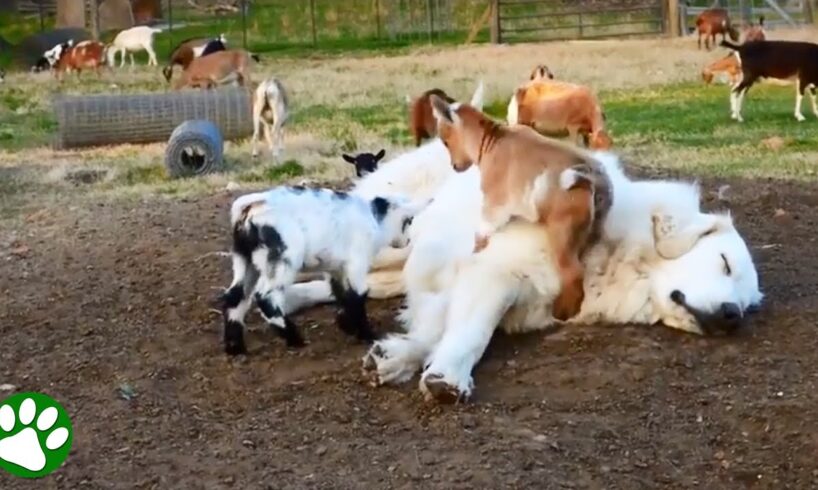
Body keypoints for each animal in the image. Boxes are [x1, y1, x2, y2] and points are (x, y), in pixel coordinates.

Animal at [278, 84, 760, 404]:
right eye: (724, 263)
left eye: (749, 305)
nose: (733, 316)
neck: (615, 251)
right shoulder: (492, 274)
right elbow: (469, 334)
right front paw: (447, 375)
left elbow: (434, 330)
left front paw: (398, 357)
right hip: (387, 243)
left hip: (400, 264)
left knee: (334, 284)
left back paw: (290, 302)